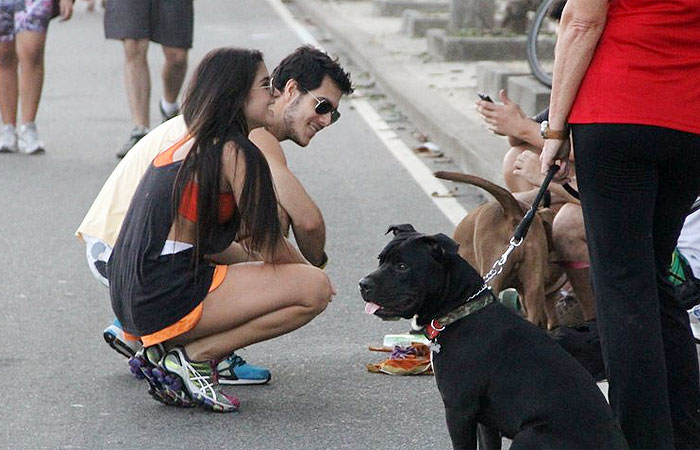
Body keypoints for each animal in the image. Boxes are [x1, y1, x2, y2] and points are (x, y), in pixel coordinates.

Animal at [358, 225, 628, 450]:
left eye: (402, 266)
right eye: (381, 260)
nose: (363, 283)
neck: (459, 310)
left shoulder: (459, 410)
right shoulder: (485, 422)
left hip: (529, 436)